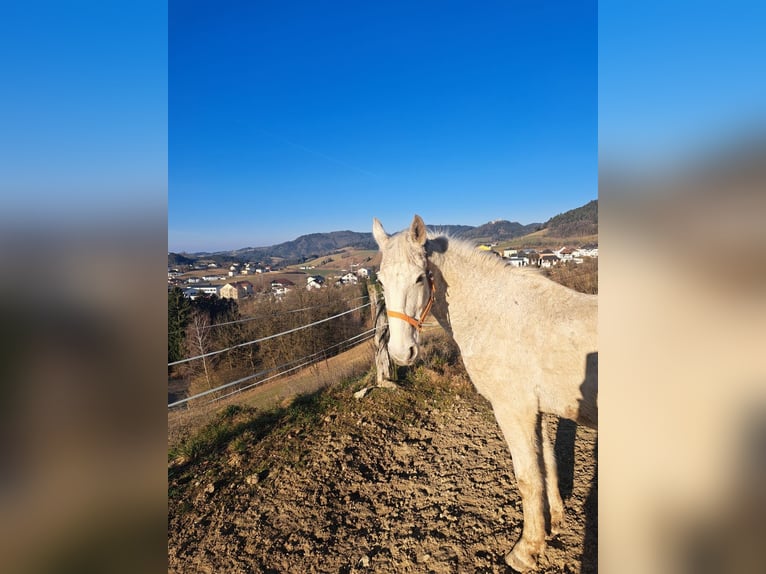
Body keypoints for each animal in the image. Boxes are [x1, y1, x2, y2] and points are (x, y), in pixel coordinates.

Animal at [374, 215, 600, 572]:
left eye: (420, 277)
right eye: (381, 281)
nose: (400, 352)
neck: (497, 315)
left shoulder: (513, 409)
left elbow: (527, 477)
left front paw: (526, 550)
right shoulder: (535, 409)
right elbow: (546, 464)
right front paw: (554, 522)